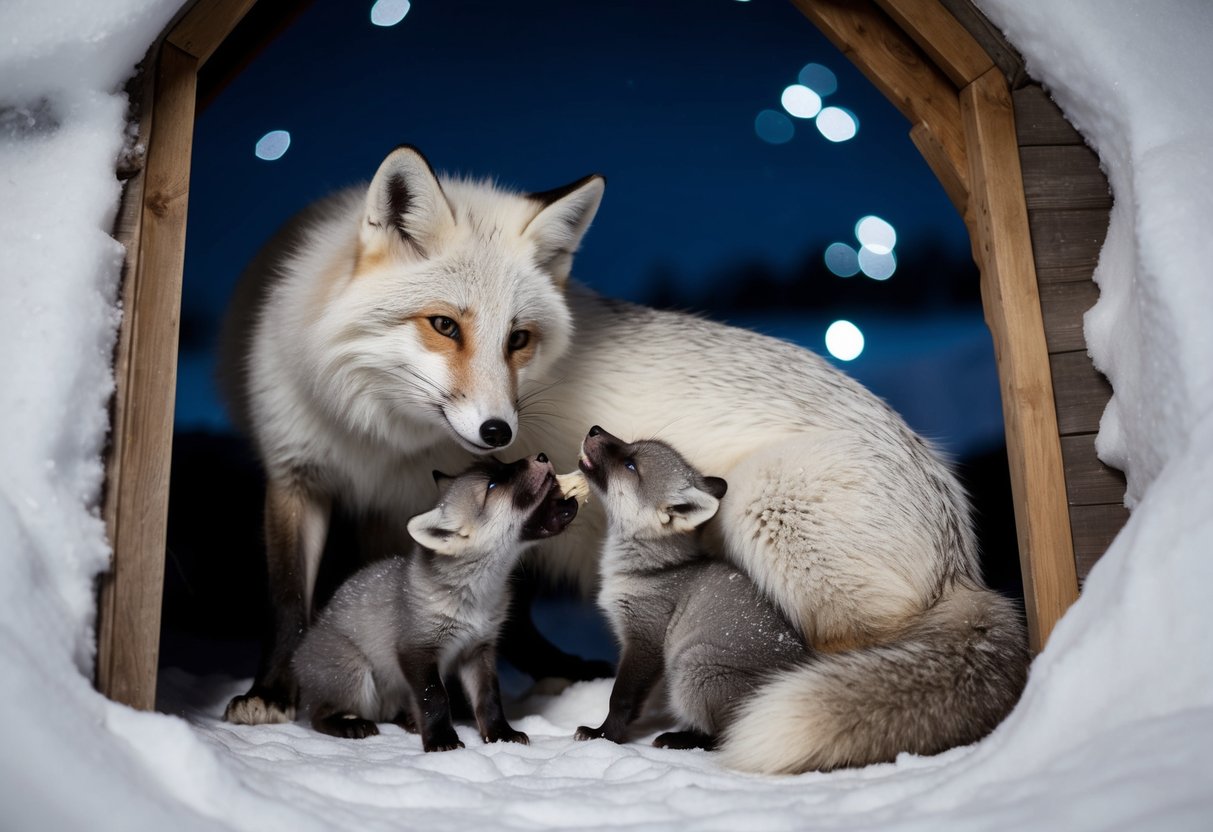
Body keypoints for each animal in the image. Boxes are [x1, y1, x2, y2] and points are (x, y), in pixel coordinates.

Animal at [290, 453, 578, 750]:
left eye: (502, 463)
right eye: (493, 485)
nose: (541, 456)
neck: (476, 600)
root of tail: (299, 657)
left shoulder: (478, 649)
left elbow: (488, 699)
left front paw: (499, 734)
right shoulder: (416, 650)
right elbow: (435, 699)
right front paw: (441, 739)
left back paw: (408, 721)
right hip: (355, 675)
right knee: (319, 714)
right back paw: (348, 724)